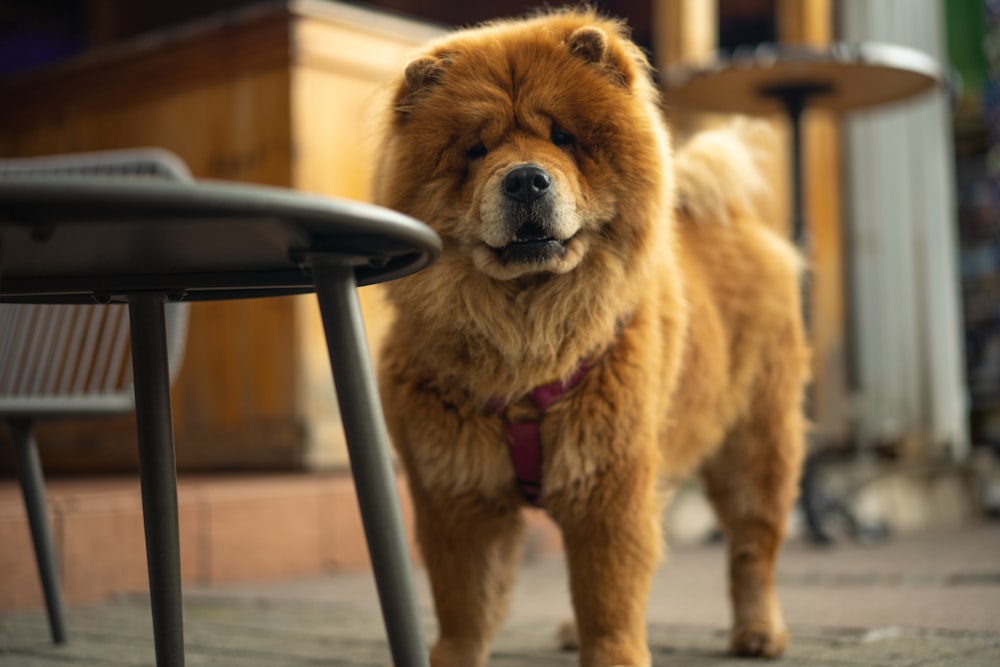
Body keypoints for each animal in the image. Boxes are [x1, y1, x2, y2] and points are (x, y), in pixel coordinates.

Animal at [372, 6, 808, 667]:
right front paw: (458, 653)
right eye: (476, 149)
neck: (524, 347)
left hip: (755, 442)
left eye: (562, 138)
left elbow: (608, 592)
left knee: (751, 548)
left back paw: (759, 632)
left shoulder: (609, 481)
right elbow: (465, 601)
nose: (526, 180)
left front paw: (612, 652)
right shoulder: (456, 490)